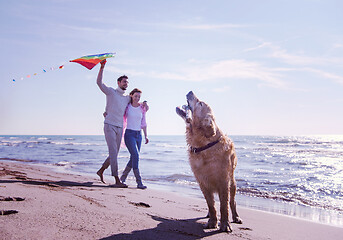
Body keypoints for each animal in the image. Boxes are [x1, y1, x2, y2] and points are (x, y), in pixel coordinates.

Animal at [176, 91, 243, 232]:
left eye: (200, 103)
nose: (190, 91)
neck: (204, 146)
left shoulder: (224, 181)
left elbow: (224, 206)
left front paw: (225, 224)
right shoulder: (202, 181)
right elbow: (211, 204)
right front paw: (212, 221)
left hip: (233, 183)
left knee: (232, 201)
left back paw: (236, 217)